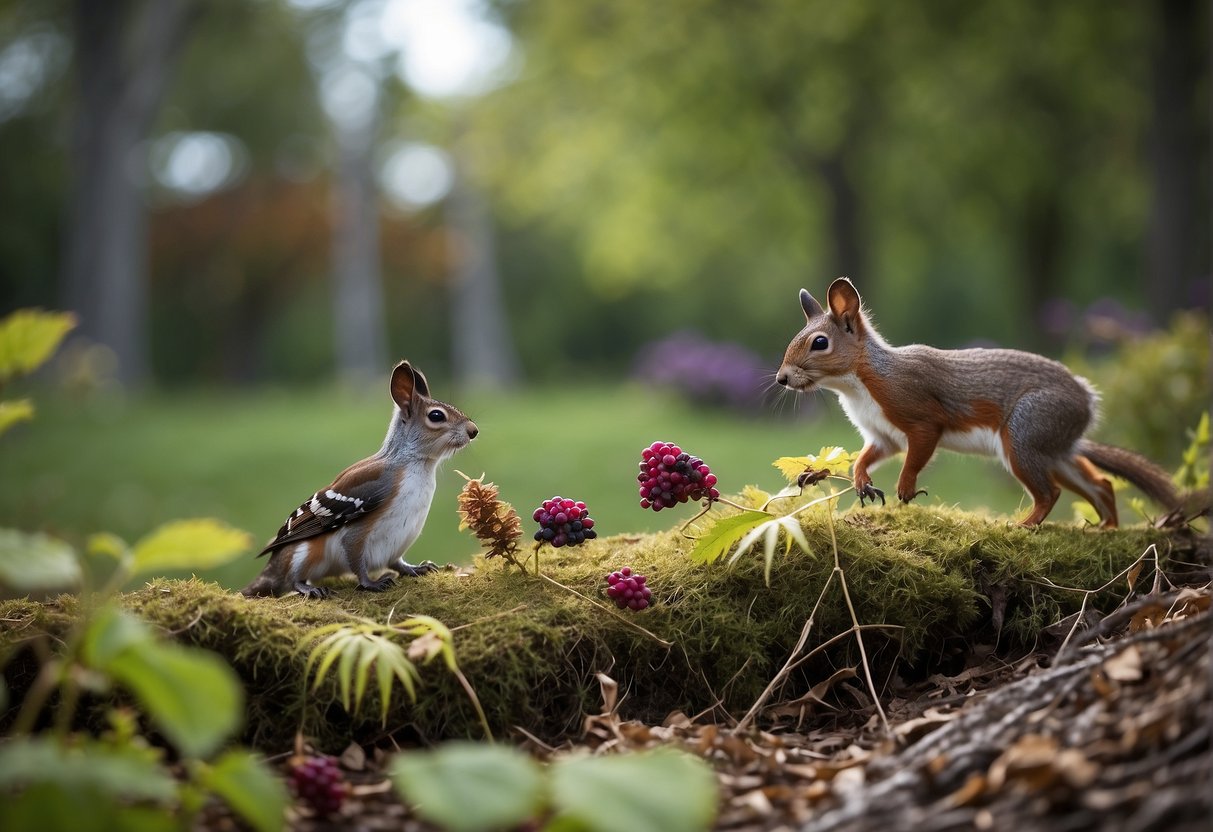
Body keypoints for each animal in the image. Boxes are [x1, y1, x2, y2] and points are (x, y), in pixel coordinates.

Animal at [242, 360, 478, 598]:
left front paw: (414, 568)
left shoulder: (399, 543)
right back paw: (308, 587)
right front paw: (370, 583)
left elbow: (397, 563)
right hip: (303, 552)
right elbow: (358, 565)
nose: (473, 431)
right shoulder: (355, 537)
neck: (414, 465)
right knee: (293, 579)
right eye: (436, 416)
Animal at [776, 278, 1180, 528]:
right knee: (1100, 484)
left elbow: (918, 452)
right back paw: (1105, 527)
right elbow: (868, 455)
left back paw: (1024, 525)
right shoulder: (882, 435)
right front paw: (862, 480)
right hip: (1052, 449)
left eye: (819, 343)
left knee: (1051, 492)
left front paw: (906, 487)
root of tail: (1087, 403)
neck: (857, 387)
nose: (781, 378)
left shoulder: (920, 413)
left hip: (1025, 434)